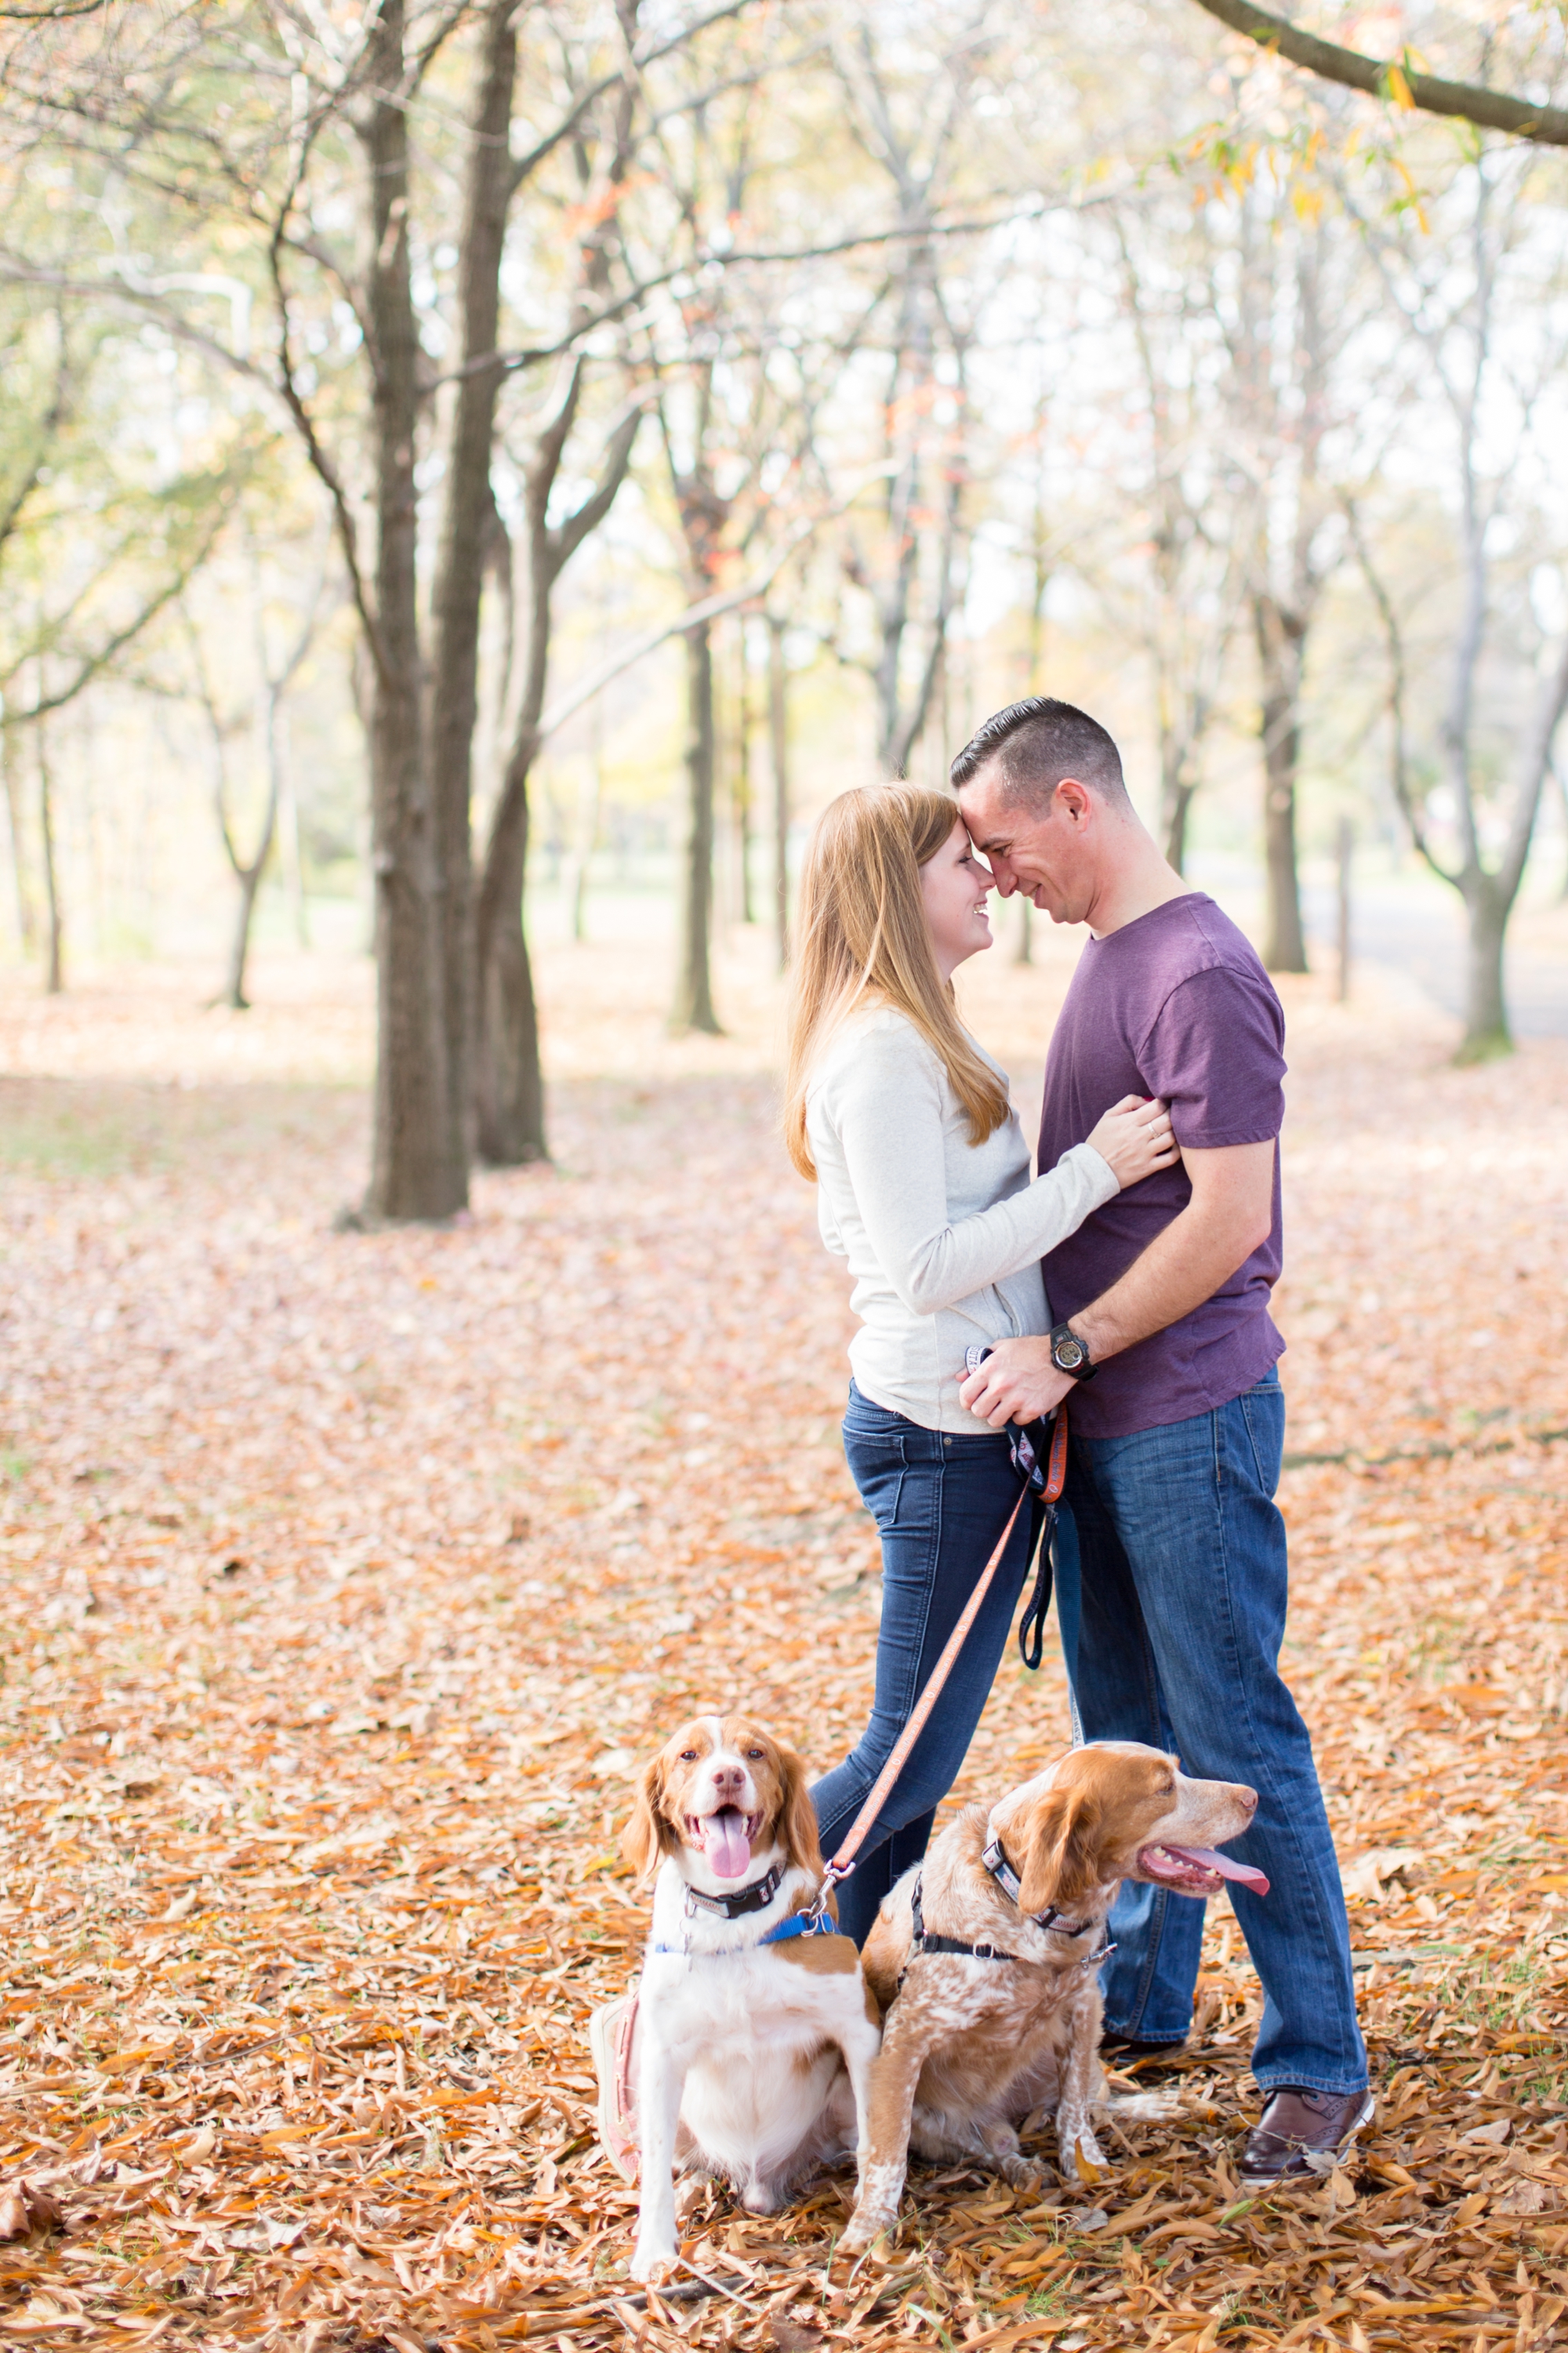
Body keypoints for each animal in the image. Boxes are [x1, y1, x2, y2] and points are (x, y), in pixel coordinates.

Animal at [593, 1722, 880, 2286]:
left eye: (756, 1753)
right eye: (688, 1755)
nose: (728, 1775)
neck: (734, 1917)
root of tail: (759, 2181)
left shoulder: (860, 2029)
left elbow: (874, 2134)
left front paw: (871, 2208)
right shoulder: (663, 2058)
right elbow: (655, 2172)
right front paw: (653, 2249)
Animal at [843, 1741, 1261, 2249]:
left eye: (1179, 1771)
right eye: (1164, 1788)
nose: (1253, 1796)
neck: (1026, 1906)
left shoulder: (1084, 2009)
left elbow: (1075, 2110)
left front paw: (1087, 2165)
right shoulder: (905, 2042)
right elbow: (888, 2152)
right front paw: (870, 2223)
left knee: (1096, 2101)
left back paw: (1150, 2107)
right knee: (989, 2146)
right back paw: (1021, 2168)